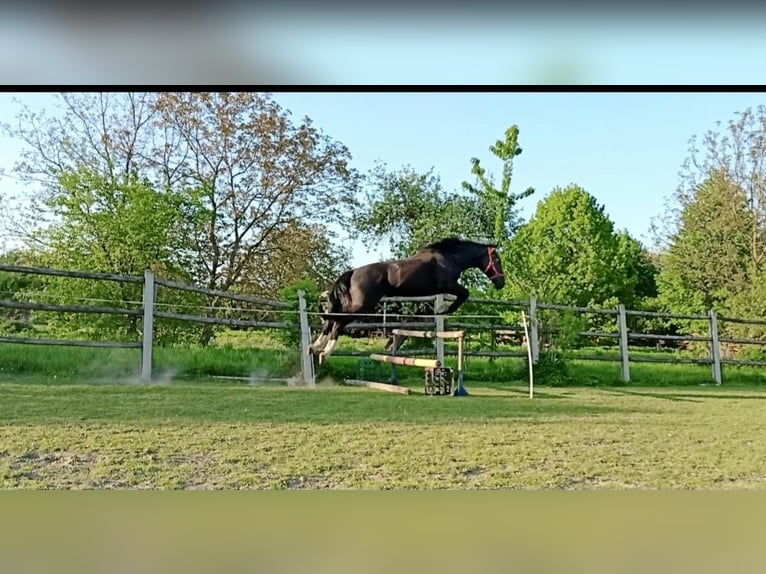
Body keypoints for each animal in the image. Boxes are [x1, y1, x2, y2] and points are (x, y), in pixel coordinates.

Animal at [308, 237, 508, 364]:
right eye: (497, 260)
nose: (501, 283)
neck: (450, 258)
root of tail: (353, 272)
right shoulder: (448, 285)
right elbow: (463, 294)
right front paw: (444, 310)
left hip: (352, 303)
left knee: (331, 319)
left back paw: (315, 347)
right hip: (362, 306)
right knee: (338, 322)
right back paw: (325, 352)